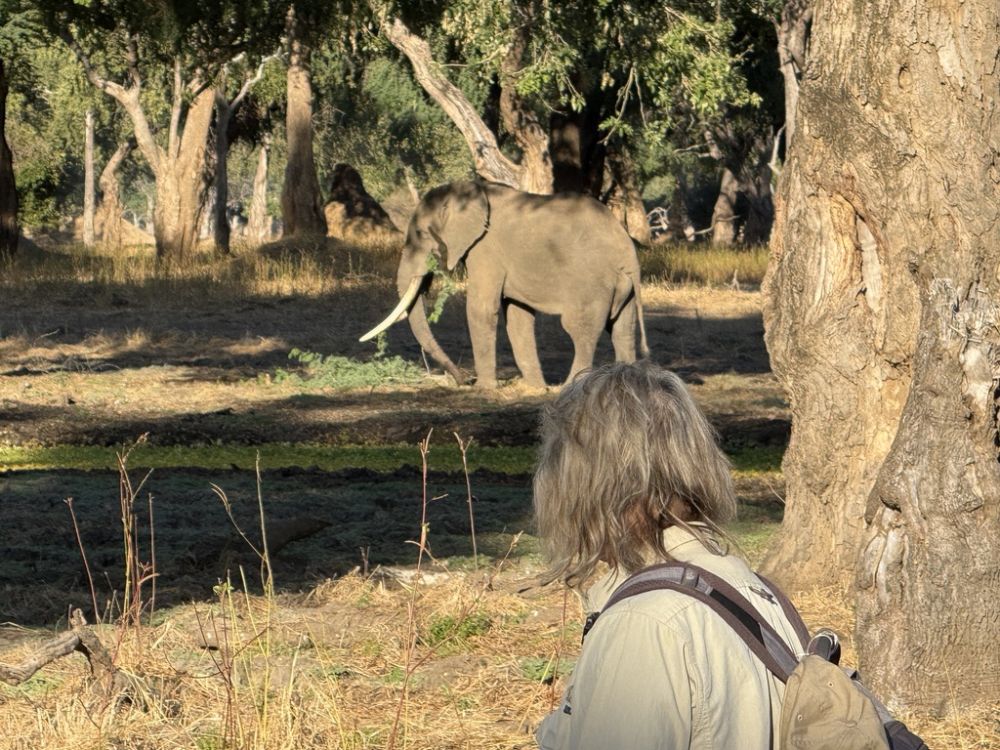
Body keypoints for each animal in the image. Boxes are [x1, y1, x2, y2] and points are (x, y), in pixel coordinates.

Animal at [360, 180, 649, 388]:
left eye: (420, 234)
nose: (463, 379)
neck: (469, 190)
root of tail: (628, 253)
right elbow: (517, 316)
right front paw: (534, 388)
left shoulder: (484, 249)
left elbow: (480, 309)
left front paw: (484, 390)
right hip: (623, 287)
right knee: (622, 330)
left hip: (591, 283)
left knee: (581, 331)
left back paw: (569, 386)